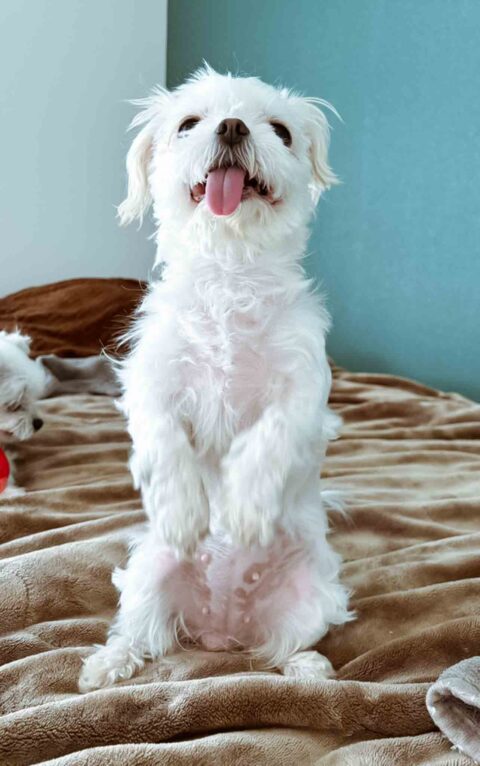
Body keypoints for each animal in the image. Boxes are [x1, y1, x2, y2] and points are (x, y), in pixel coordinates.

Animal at [79, 66, 352, 692]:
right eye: (188, 123)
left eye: (280, 130)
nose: (231, 126)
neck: (231, 271)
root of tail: (221, 631)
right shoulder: (149, 381)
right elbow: (163, 441)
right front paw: (185, 509)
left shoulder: (304, 389)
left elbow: (268, 439)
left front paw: (246, 508)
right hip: (146, 571)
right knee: (140, 634)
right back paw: (108, 665)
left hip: (313, 592)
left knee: (285, 646)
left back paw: (308, 668)